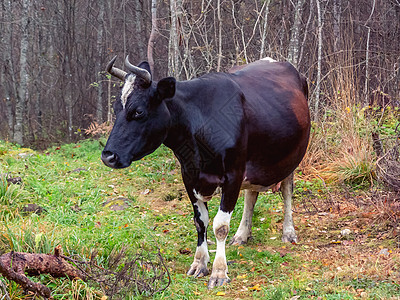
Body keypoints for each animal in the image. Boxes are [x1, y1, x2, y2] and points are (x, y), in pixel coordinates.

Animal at [101, 56, 310, 288]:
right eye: (116, 108)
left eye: (138, 111)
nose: (108, 156)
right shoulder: (189, 175)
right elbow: (200, 221)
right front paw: (199, 262)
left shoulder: (233, 175)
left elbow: (220, 226)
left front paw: (219, 271)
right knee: (251, 195)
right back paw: (242, 234)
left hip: (292, 157)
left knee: (287, 191)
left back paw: (288, 232)